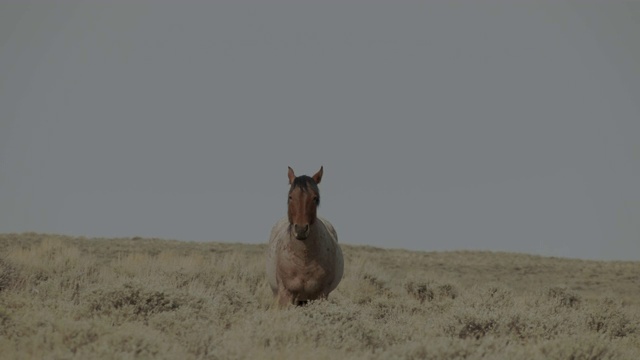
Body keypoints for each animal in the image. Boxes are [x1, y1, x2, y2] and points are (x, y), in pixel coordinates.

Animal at [266, 167, 344, 306]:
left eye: (315, 198)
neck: (304, 260)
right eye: (290, 196)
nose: (301, 229)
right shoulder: (285, 295)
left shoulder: (321, 295)